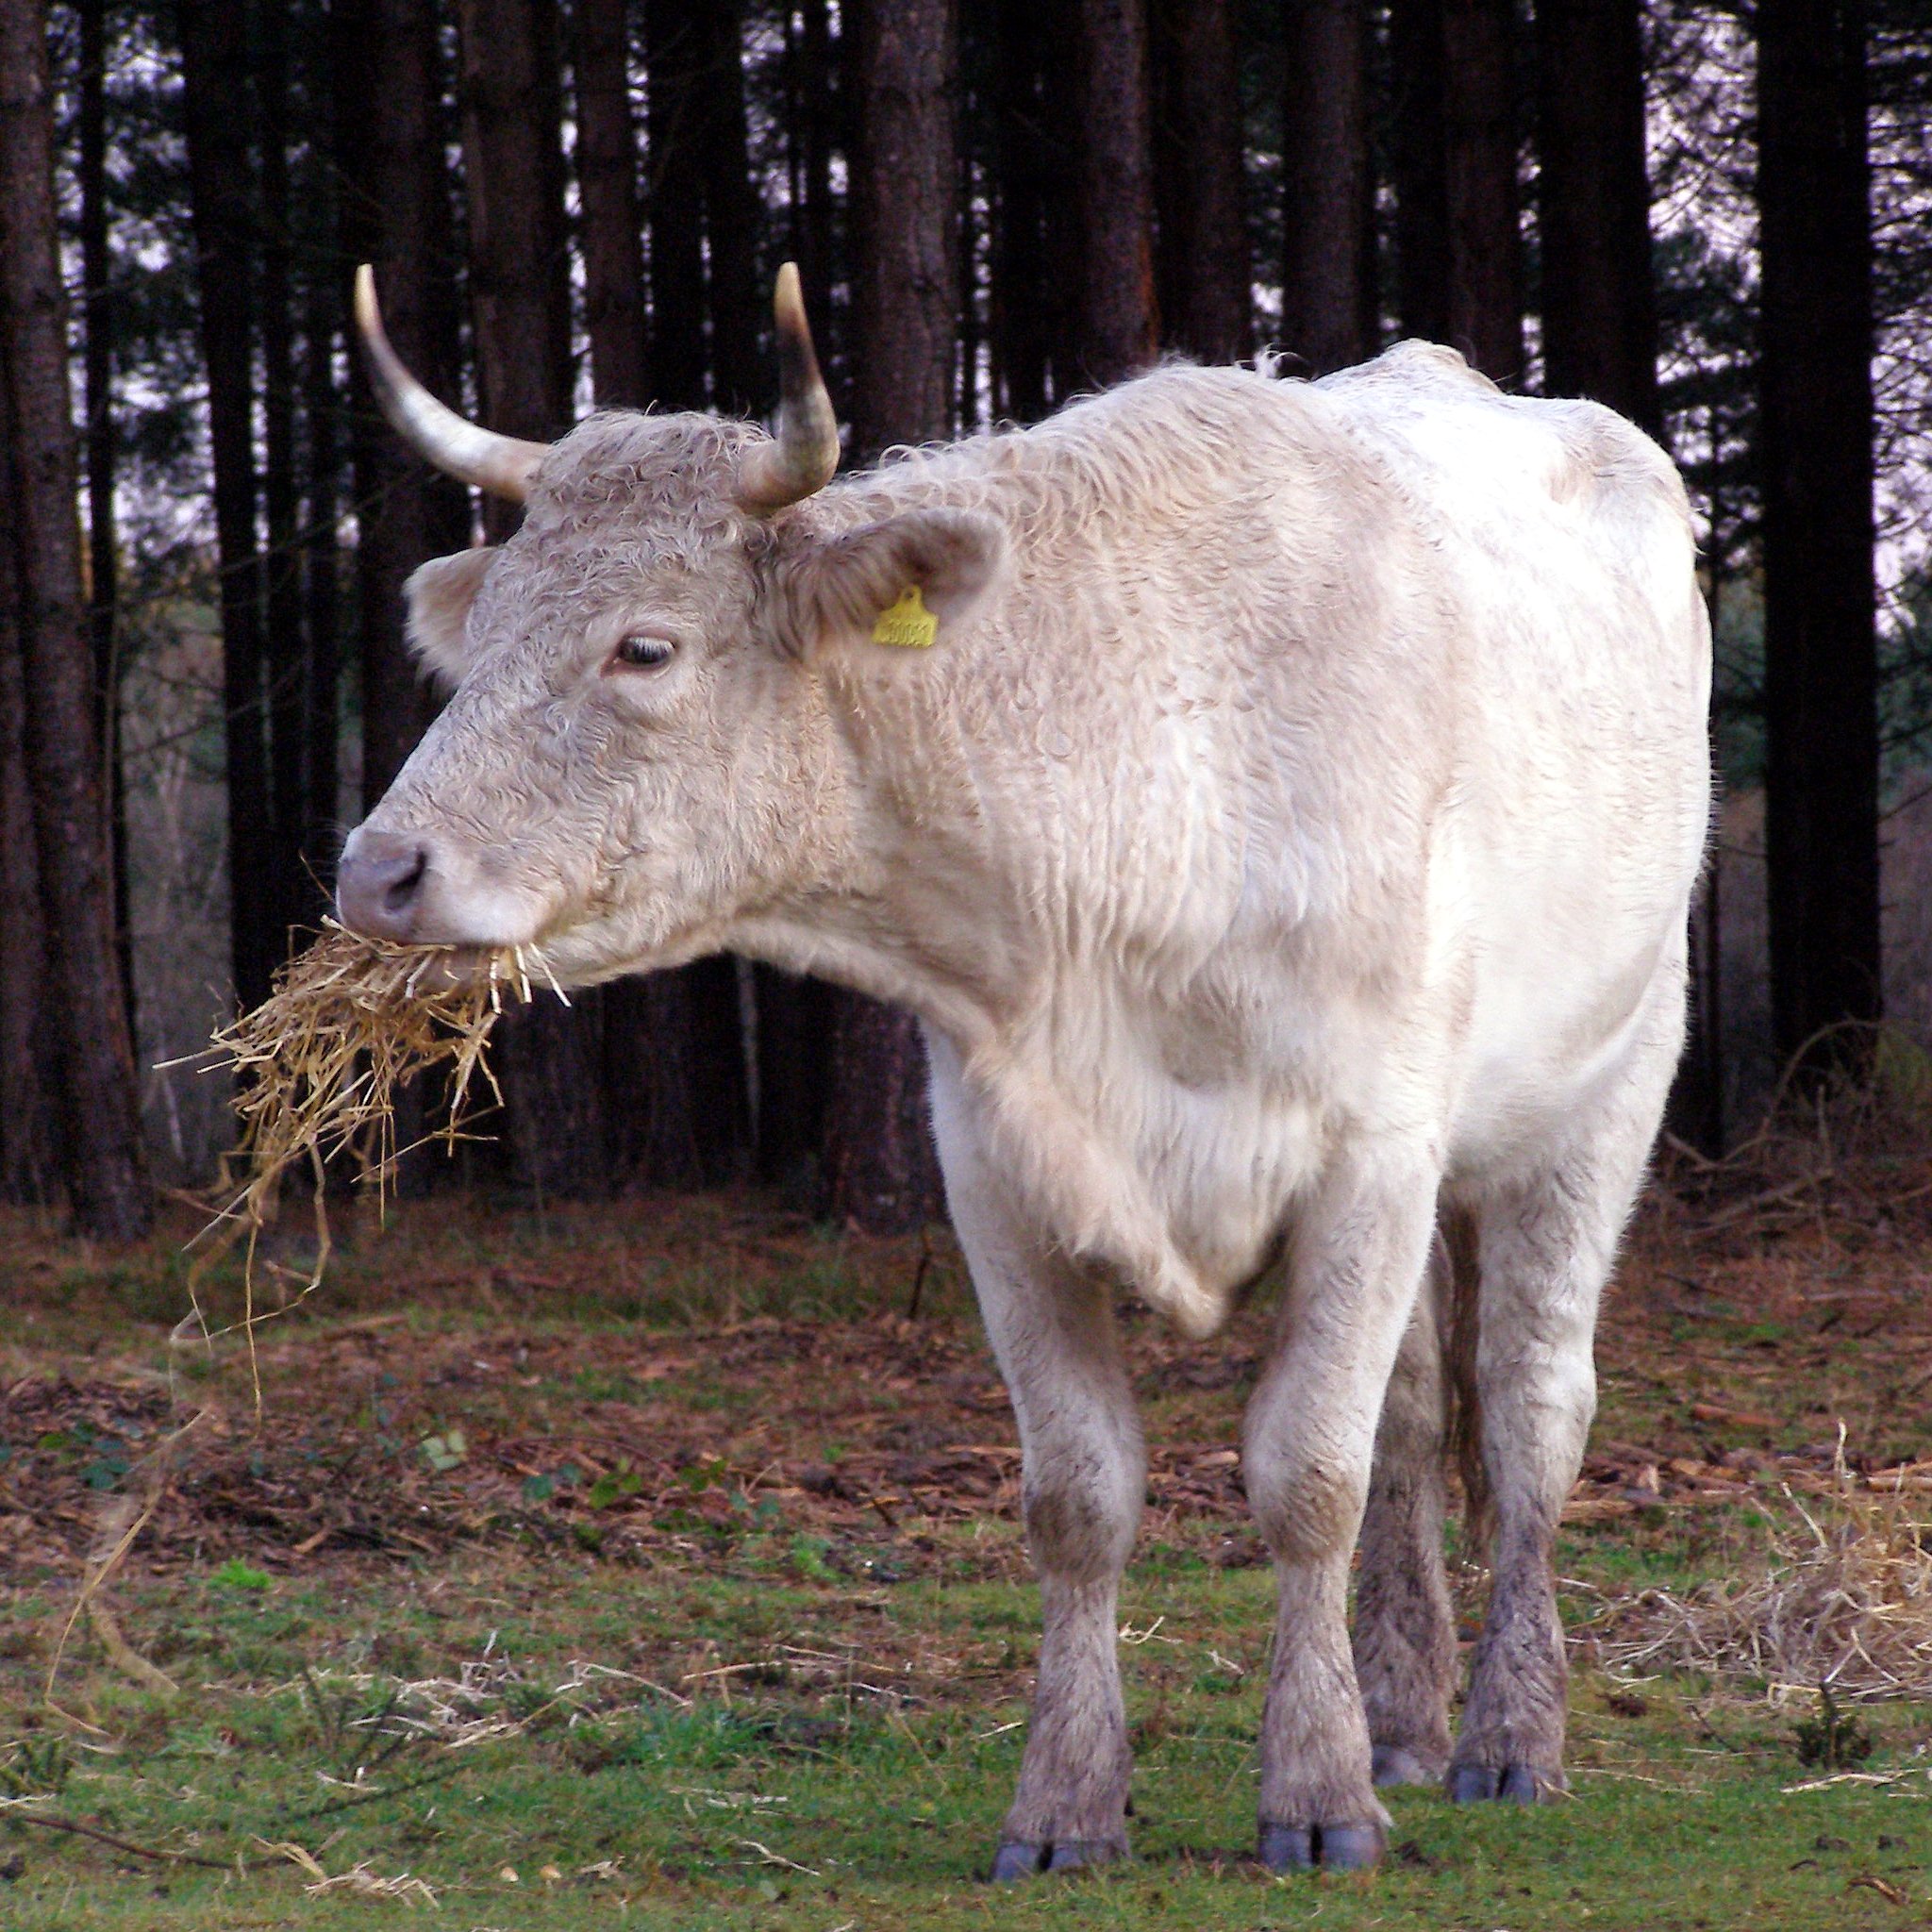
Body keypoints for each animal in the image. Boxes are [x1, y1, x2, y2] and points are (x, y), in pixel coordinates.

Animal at [343, 268, 1707, 1870]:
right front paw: (1068, 1800)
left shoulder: (1371, 1151)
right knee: (1425, 1410)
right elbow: (1082, 1493)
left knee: (1531, 1405)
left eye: (646, 647)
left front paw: (1314, 1795)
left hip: (1606, 1086)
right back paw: (1404, 1717)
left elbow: (1309, 1471)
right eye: (482, 631)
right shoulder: (995, 1169)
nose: (377, 872)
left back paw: (1506, 1735)